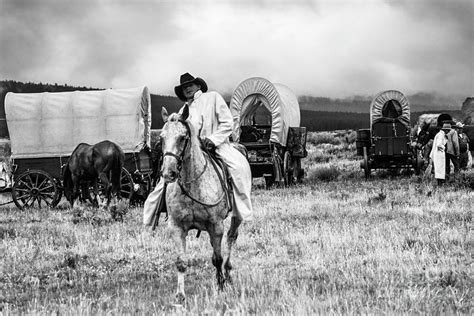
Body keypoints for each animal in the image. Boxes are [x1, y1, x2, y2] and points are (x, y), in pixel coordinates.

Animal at [160, 105, 241, 304]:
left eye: (183, 137)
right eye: (161, 138)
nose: (168, 173)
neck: (193, 184)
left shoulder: (216, 226)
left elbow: (217, 258)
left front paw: (220, 287)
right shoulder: (177, 227)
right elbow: (181, 262)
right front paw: (180, 295)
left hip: (237, 216)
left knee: (231, 237)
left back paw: (228, 272)